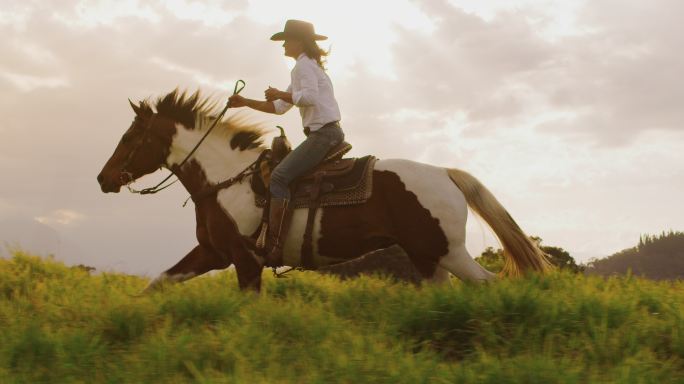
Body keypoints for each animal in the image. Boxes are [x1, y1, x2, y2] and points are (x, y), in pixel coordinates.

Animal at [96, 89, 552, 292]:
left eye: (130, 136)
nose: (103, 178)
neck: (226, 179)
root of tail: (444, 173)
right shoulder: (212, 253)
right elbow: (157, 283)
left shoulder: (245, 260)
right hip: (429, 260)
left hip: (450, 253)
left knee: (490, 285)